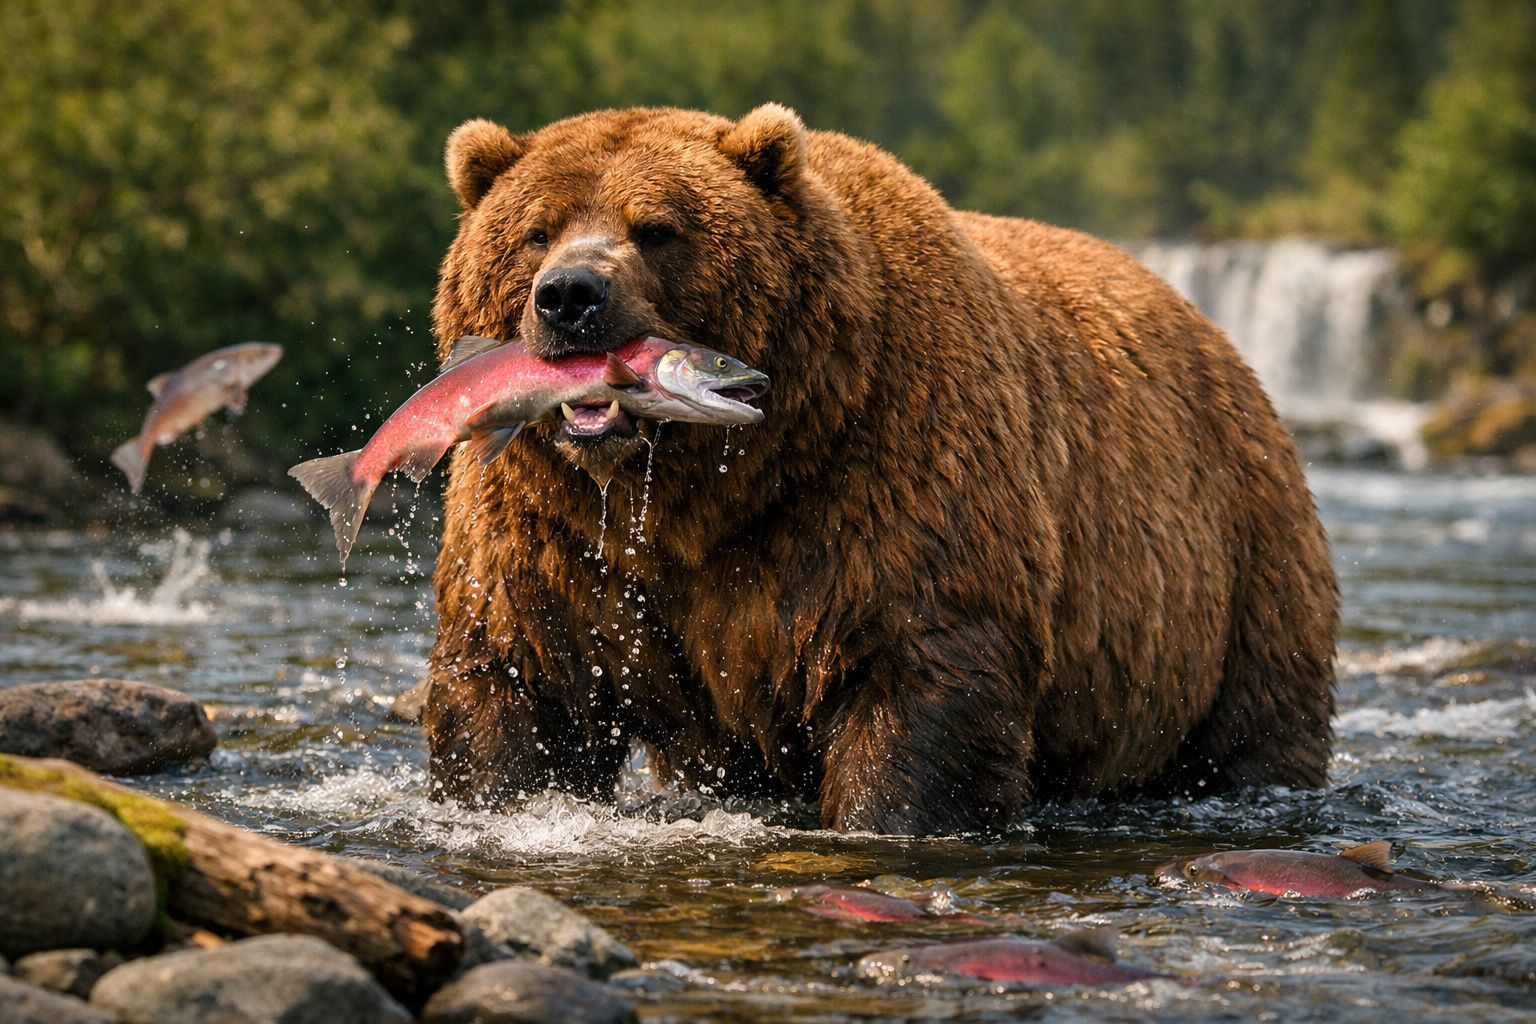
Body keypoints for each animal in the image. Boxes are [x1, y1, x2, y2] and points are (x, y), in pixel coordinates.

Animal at [421, 103, 1338, 836]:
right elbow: (515, 676)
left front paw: (887, 818)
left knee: (1256, 718)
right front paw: (496, 793)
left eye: (656, 227)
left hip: (1234, 562)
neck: (708, 488)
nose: (570, 295)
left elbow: (919, 668)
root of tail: (1206, 327)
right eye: (536, 229)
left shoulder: (885, 475)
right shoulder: (555, 531)